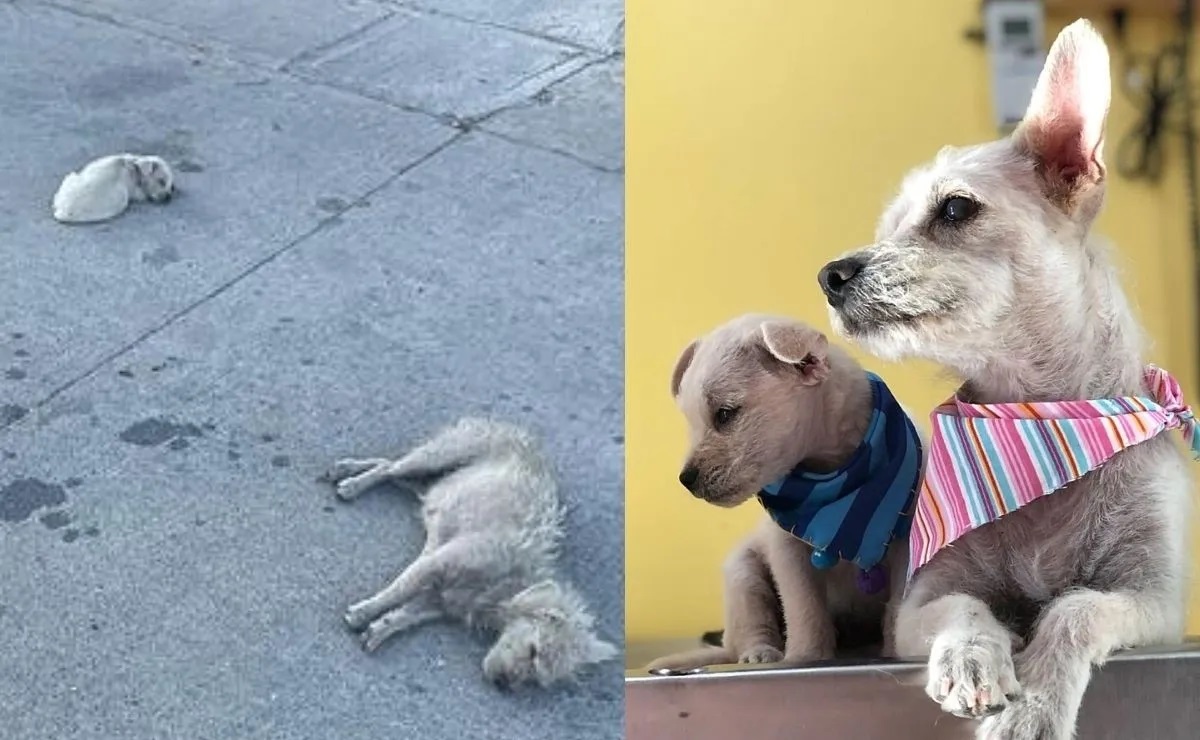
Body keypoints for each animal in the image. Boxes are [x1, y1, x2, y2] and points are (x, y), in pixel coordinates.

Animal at [324, 414, 619, 686]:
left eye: (539, 679)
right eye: (534, 651)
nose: (504, 684)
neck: (506, 583)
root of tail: (512, 427)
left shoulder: (438, 602)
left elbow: (406, 615)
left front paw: (379, 630)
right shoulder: (437, 562)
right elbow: (398, 590)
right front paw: (363, 612)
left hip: (427, 481)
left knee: (388, 466)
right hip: (437, 456)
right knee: (392, 467)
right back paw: (351, 481)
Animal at [648, 311, 907, 671]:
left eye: (725, 414)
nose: (685, 479)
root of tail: (726, 644)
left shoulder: (909, 543)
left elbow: (898, 606)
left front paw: (897, 650)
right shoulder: (788, 551)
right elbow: (804, 607)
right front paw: (806, 657)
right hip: (743, 576)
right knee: (752, 628)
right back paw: (760, 653)